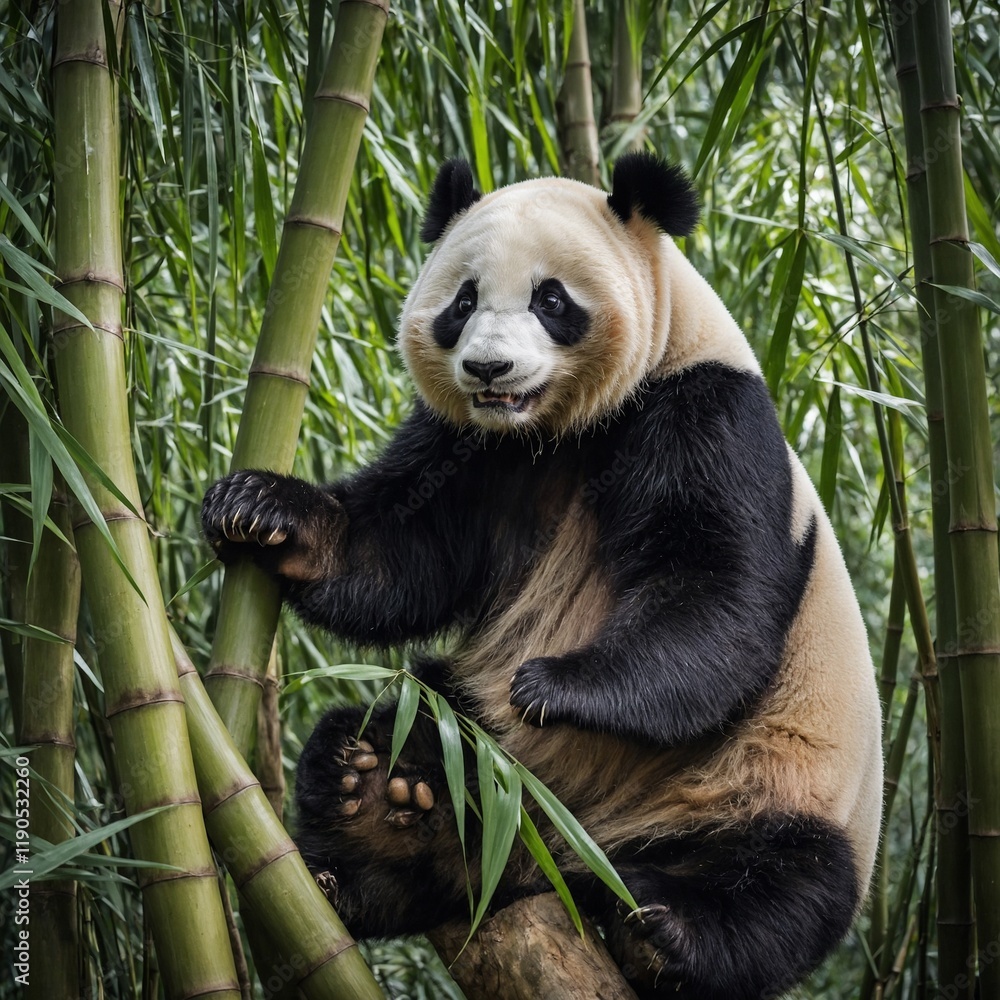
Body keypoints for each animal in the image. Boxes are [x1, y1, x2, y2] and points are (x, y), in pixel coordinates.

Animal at [201, 153, 883, 1000]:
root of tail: (559, 859)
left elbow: (712, 593)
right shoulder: (470, 446)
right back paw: (380, 803)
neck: (550, 430)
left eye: (550, 300)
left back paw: (665, 934)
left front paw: (556, 686)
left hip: (772, 786)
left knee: (778, 885)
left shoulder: (706, 411)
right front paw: (262, 509)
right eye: (462, 301)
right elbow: (401, 551)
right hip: (487, 751)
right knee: (409, 734)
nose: (487, 367)